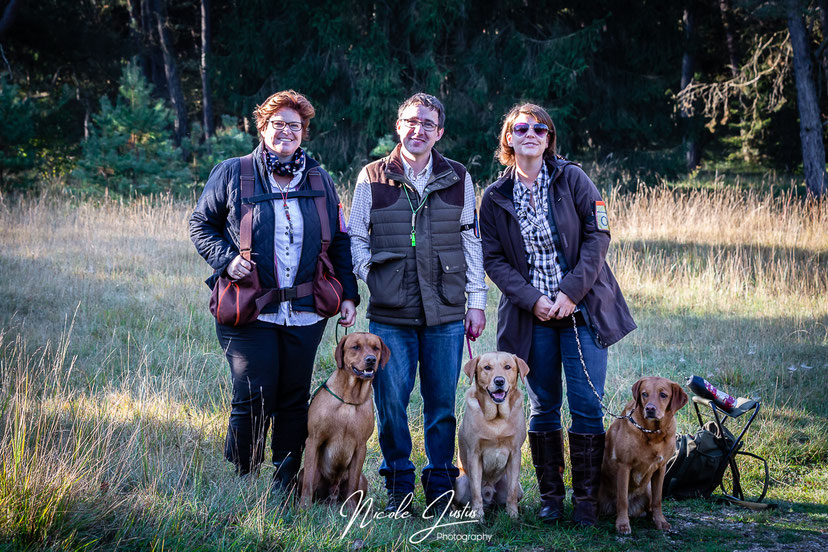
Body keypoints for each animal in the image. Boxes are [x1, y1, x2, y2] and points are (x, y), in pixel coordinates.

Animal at [298, 332, 388, 508]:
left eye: (376, 348)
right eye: (356, 347)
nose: (371, 359)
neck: (349, 400)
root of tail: (332, 496)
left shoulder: (361, 446)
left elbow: (352, 486)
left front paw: (352, 511)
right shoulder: (313, 440)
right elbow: (308, 482)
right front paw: (304, 508)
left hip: (363, 480)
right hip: (304, 474)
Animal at [452, 352, 532, 520]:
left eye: (507, 366)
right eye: (487, 367)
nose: (499, 381)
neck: (497, 418)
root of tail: (489, 495)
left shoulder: (515, 454)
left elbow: (511, 493)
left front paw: (513, 515)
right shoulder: (474, 454)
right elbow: (476, 492)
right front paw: (478, 516)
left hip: (516, 486)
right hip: (460, 483)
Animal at [600, 378, 688, 532]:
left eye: (663, 395)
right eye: (644, 394)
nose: (650, 409)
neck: (653, 434)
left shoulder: (661, 468)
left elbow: (658, 500)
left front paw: (661, 521)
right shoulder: (624, 466)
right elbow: (622, 500)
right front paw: (622, 524)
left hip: (647, 490)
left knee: (651, 504)